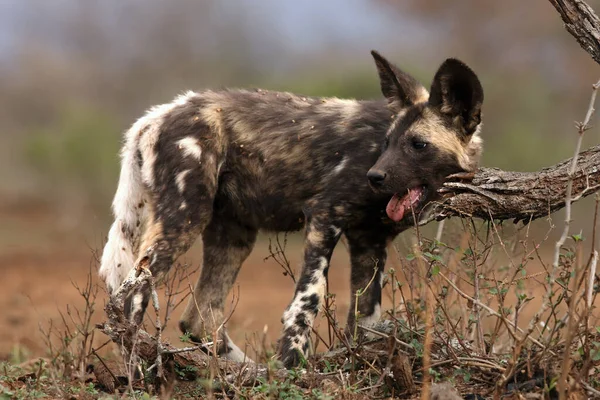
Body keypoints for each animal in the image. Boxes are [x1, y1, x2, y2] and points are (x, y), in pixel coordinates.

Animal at [98, 50, 482, 368]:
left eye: (418, 145)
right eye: (387, 143)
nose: (375, 176)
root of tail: (154, 116)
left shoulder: (370, 242)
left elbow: (366, 319)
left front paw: (356, 362)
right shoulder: (324, 218)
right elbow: (308, 300)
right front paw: (292, 362)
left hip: (233, 235)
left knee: (199, 318)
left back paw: (245, 372)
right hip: (185, 219)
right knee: (131, 298)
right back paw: (140, 372)